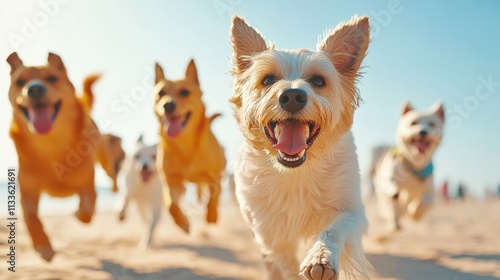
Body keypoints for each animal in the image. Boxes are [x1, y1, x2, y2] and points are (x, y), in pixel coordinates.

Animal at [6, 52, 124, 260]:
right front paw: (43, 247)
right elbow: (31, 217)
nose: (34, 89)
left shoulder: (87, 186)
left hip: (104, 160)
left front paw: (77, 213)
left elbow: (86, 210)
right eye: (20, 82)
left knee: (112, 173)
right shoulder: (28, 191)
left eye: (53, 78)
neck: (51, 145)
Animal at [153, 60, 226, 233]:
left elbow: (214, 196)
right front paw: (182, 222)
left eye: (185, 92)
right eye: (161, 93)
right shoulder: (171, 181)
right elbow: (171, 204)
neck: (185, 145)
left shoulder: (215, 175)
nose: (167, 105)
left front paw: (211, 215)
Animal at [230, 15, 372, 280]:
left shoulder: (351, 211)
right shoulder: (270, 232)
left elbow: (334, 229)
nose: (292, 96)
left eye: (318, 81)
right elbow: (284, 263)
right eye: (268, 79)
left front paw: (321, 257)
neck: (295, 172)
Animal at [370, 101, 444, 233]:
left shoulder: (429, 190)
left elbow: (425, 202)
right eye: (413, 123)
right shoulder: (389, 176)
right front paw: (394, 191)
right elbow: (391, 185)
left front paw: (414, 213)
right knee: (390, 208)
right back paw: (394, 223)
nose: (423, 132)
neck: (414, 165)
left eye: (432, 124)